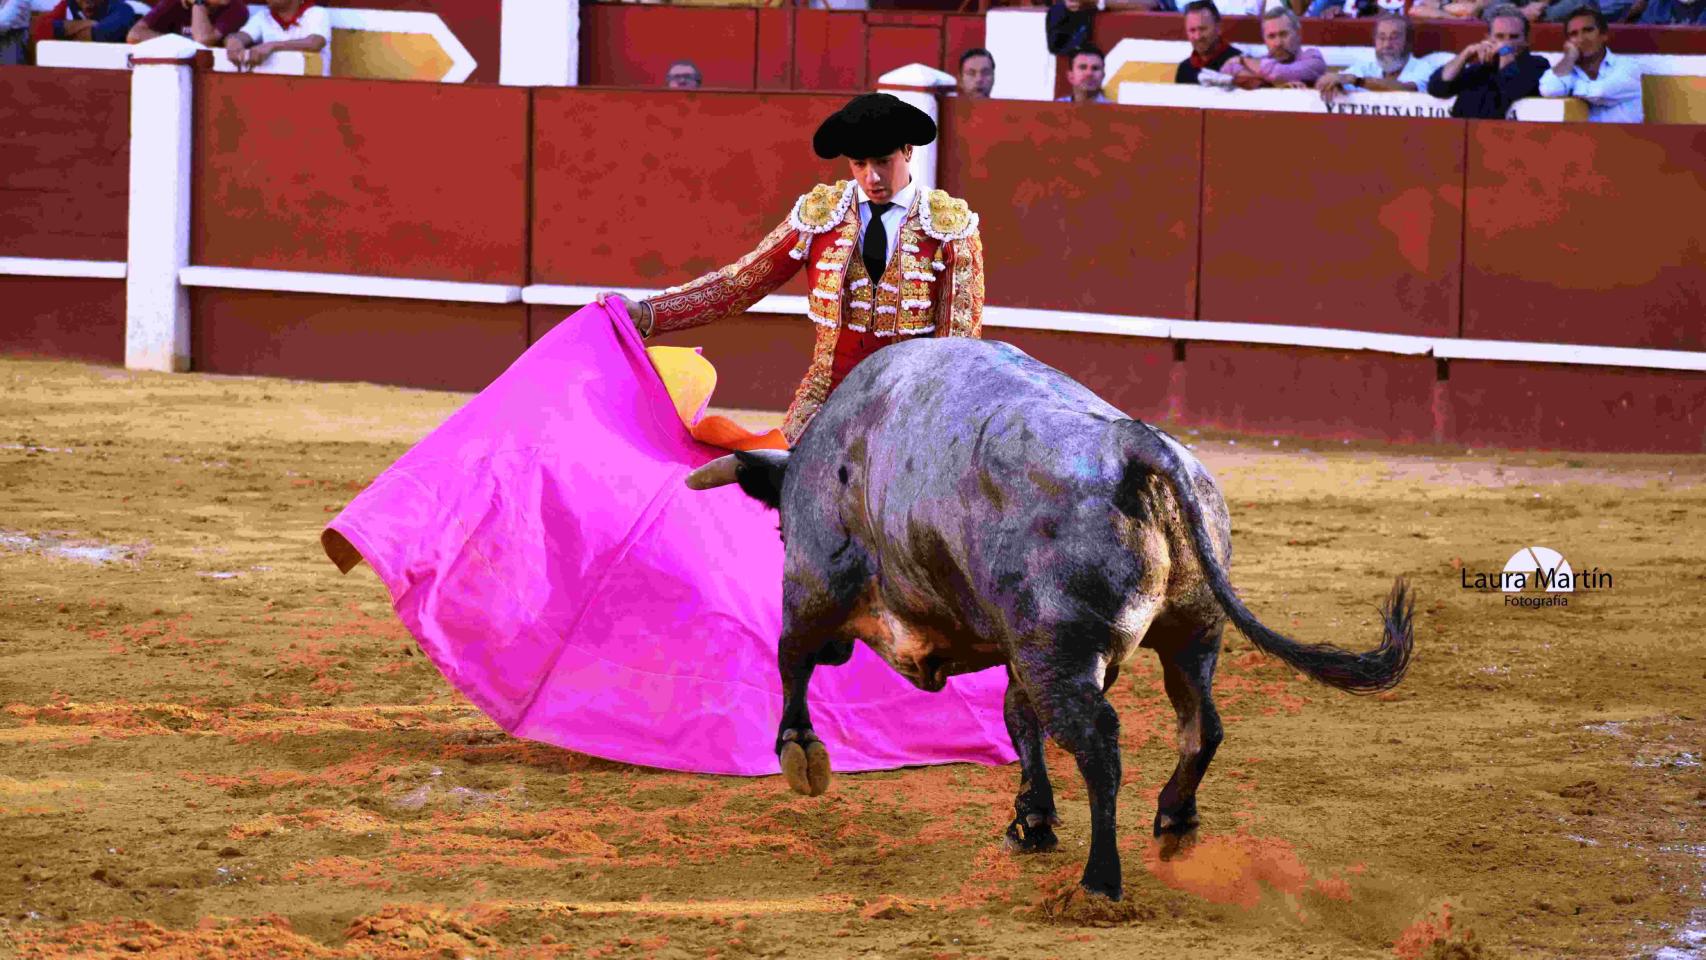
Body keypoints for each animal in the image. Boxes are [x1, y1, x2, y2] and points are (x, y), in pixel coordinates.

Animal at [678, 337, 1412, 900]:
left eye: (779, 531)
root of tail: (1133, 447)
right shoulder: (1021, 645)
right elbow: (1016, 718)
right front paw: (1031, 820)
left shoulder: (816, 580)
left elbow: (790, 654)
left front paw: (800, 754)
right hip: (1187, 631)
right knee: (1198, 725)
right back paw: (1173, 824)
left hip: (1057, 649)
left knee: (1099, 745)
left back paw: (1100, 882)